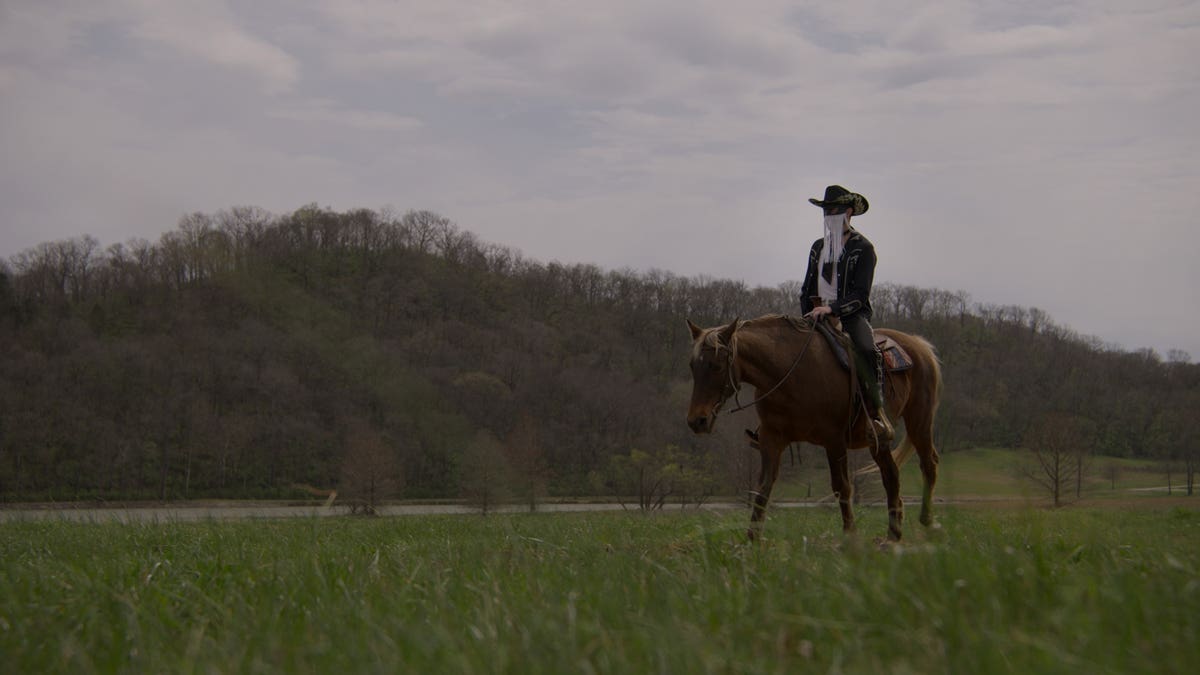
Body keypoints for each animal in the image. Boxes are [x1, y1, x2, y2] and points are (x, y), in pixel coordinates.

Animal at [691, 312, 940, 538]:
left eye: (716, 366)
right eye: (693, 366)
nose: (697, 421)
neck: (789, 372)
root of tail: (918, 345)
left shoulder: (834, 440)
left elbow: (842, 487)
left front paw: (850, 538)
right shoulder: (772, 438)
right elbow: (763, 488)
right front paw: (752, 542)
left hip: (919, 422)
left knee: (926, 464)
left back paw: (923, 523)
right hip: (879, 441)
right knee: (891, 475)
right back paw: (894, 534)